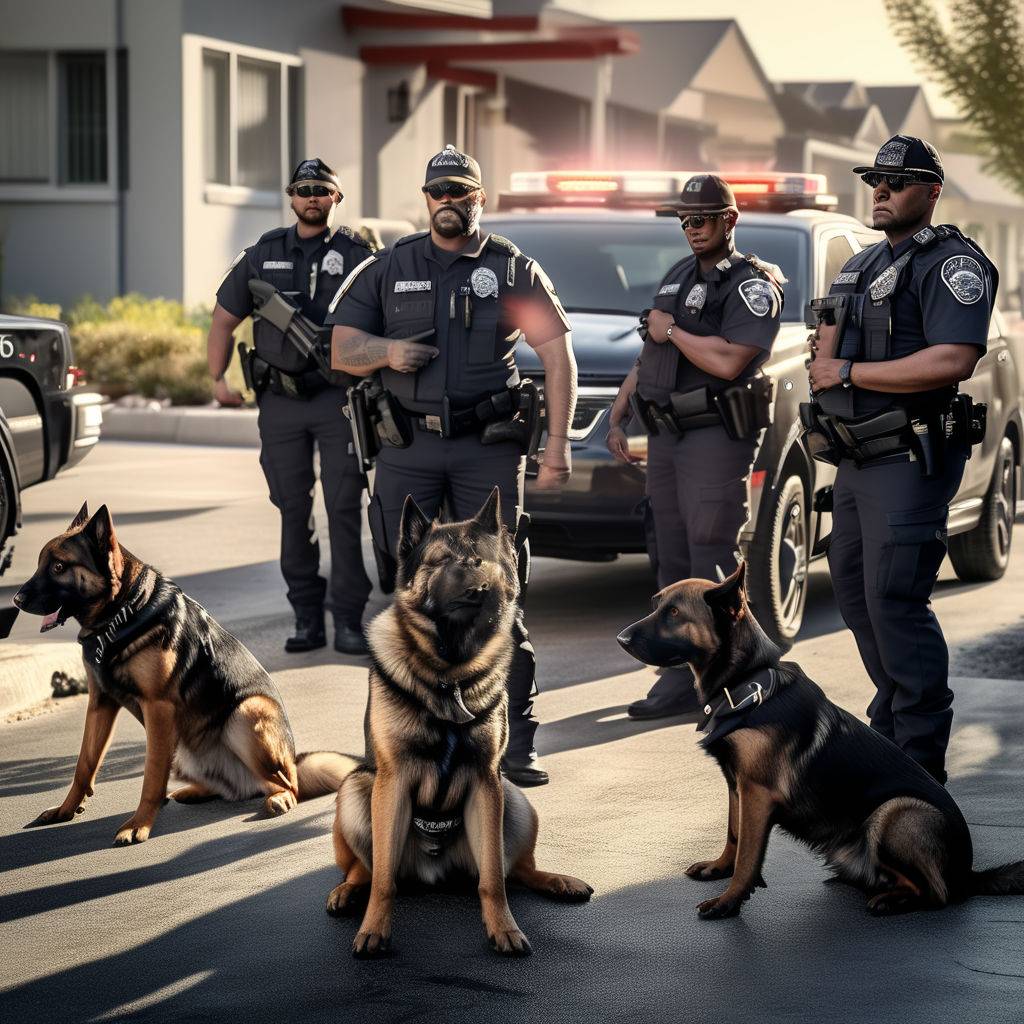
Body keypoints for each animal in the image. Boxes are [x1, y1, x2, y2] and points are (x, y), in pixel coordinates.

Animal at [9, 503, 356, 847]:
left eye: (58, 566)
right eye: (41, 564)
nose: (15, 600)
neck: (122, 612)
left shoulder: (158, 708)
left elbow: (150, 776)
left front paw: (139, 824)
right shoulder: (100, 703)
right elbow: (84, 764)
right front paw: (66, 810)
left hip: (247, 712)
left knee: (286, 784)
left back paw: (280, 797)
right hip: (183, 748)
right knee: (230, 787)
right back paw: (196, 791)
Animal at [327, 491, 593, 954]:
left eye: (482, 560)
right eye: (440, 561)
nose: (480, 588)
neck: (448, 673)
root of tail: (432, 871)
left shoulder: (486, 782)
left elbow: (493, 880)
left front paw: (504, 928)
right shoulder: (392, 782)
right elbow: (383, 881)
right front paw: (373, 929)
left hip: (513, 799)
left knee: (515, 870)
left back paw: (558, 881)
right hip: (357, 789)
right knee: (366, 868)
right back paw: (347, 891)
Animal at [614, 561, 1024, 921]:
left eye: (674, 614)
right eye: (656, 605)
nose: (620, 638)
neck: (748, 685)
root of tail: (967, 873)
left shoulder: (757, 792)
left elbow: (747, 853)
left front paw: (729, 900)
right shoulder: (736, 785)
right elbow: (733, 833)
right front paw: (719, 868)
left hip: (896, 811)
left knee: (939, 894)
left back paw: (893, 900)